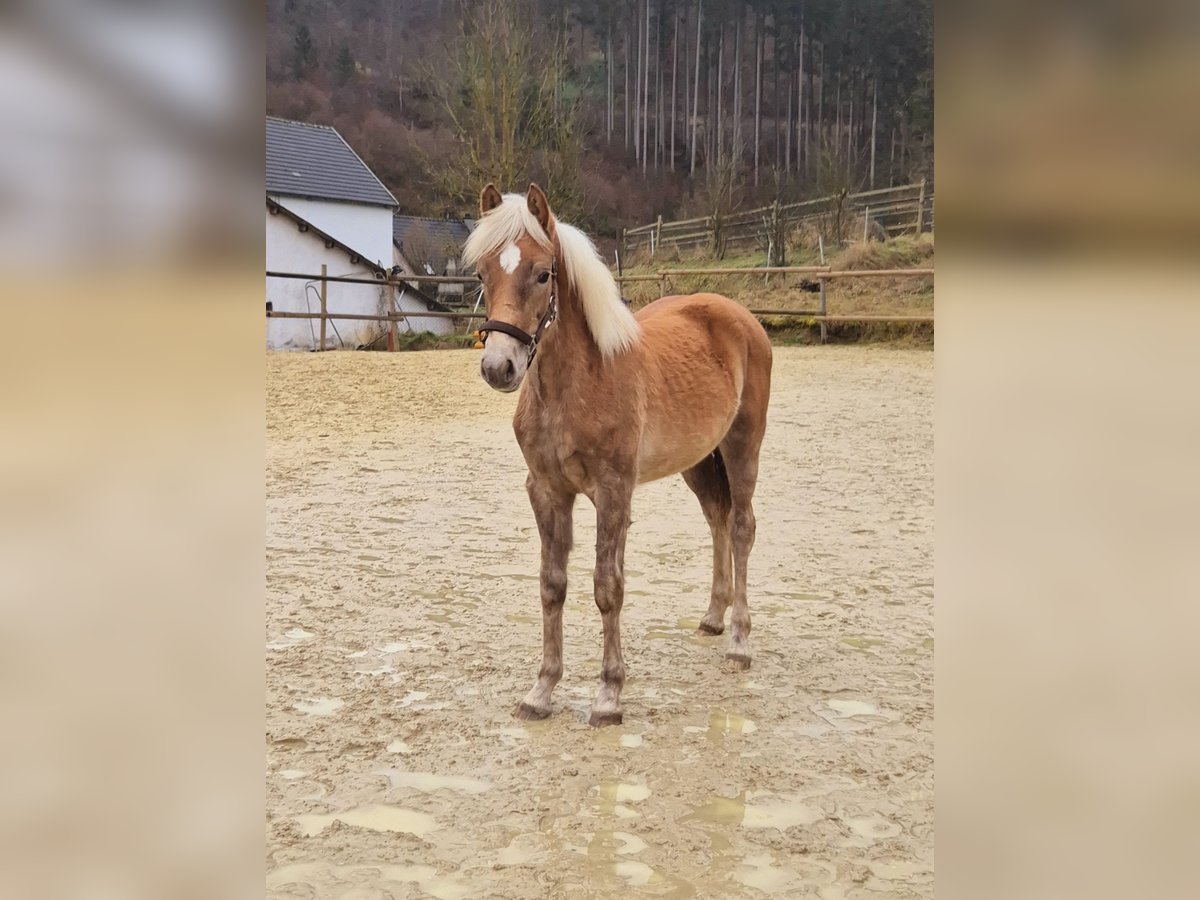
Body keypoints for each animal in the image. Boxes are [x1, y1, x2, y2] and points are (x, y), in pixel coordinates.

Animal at [463, 183, 772, 724]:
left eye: (542, 273)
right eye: (482, 273)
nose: (499, 367)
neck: (580, 383)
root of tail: (740, 317)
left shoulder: (613, 492)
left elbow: (608, 587)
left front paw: (609, 696)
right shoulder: (547, 491)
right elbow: (552, 586)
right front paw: (541, 691)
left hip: (742, 446)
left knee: (741, 528)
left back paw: (738, 642)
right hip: (697, 461)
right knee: (717, 518)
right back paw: (713, 618)